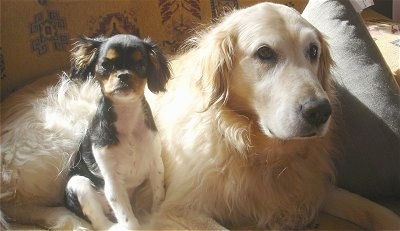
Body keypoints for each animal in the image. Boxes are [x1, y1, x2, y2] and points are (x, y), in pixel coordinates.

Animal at [64, 33, 170, 230]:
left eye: (140, 65)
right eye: (106, 65)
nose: (124, 75)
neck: (126, 114)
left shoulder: (155, 163)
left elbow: (159, 194)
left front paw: (156, 216)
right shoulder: (112, 181)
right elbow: (129, 220)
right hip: (78, 184)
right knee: (100, 223)